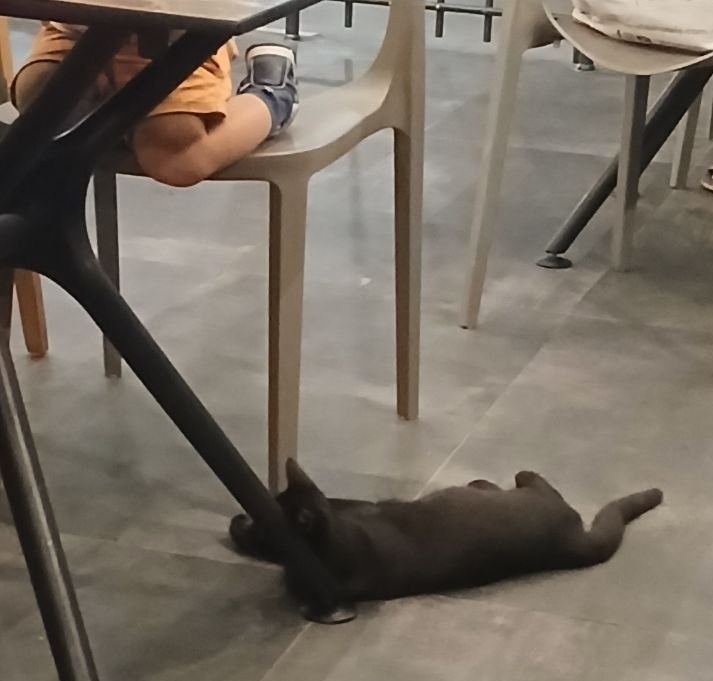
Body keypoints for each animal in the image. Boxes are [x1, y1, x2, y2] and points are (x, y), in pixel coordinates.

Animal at [229, 459, 663, 602]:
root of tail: (572, 542)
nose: (239, 517)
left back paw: (493, 478)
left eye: (265, 525)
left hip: (536, 492)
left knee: (530, 478)